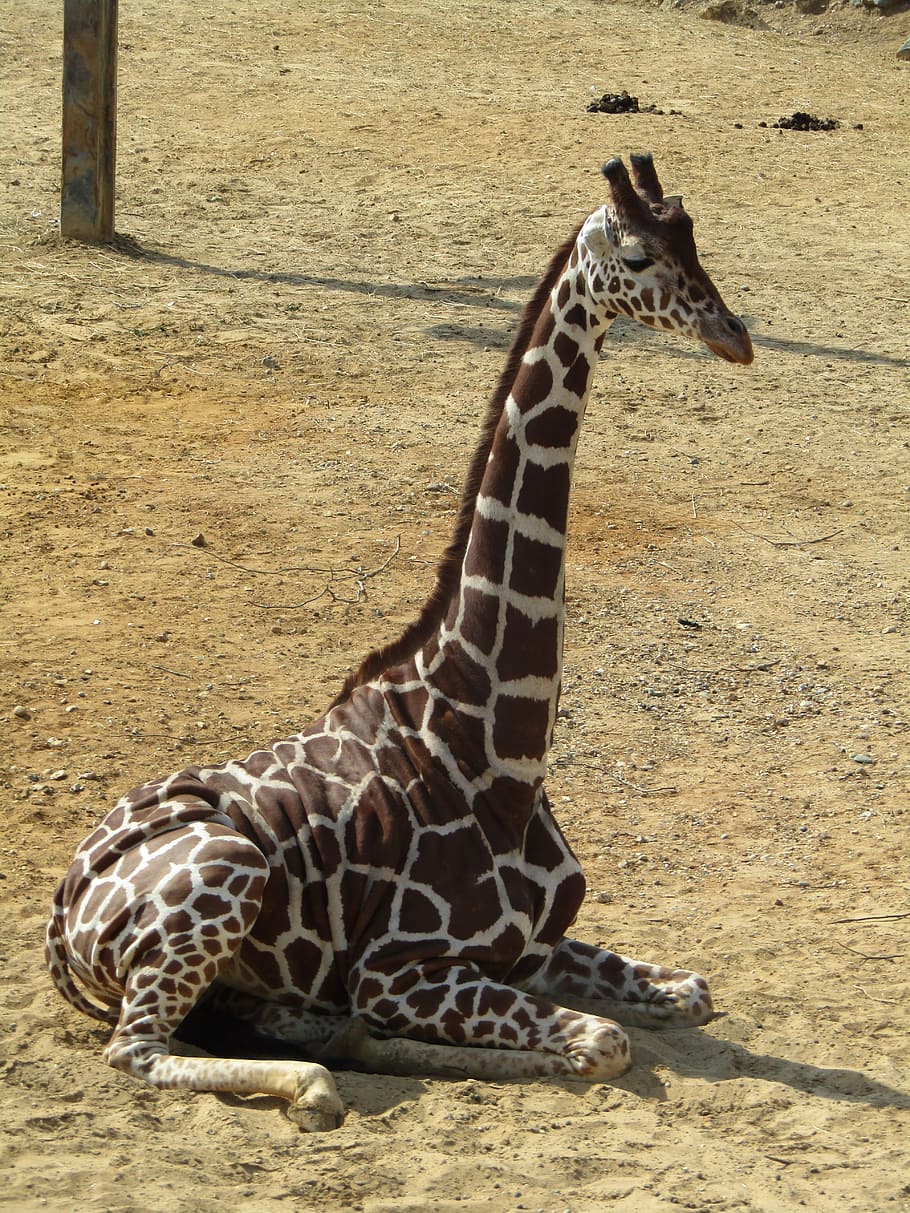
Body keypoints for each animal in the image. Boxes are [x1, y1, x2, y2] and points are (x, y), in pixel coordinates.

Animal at [46, 154, 753, 1131]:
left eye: (694, 236)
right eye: (642, 254)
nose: (736, 335)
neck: (495, 743)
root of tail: (59, 915)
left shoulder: (531, 944)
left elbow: (692, 991)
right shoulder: (401, 966)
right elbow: (604, 1042)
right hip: (227, 869)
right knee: (139, 1048)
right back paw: (314, 1083)